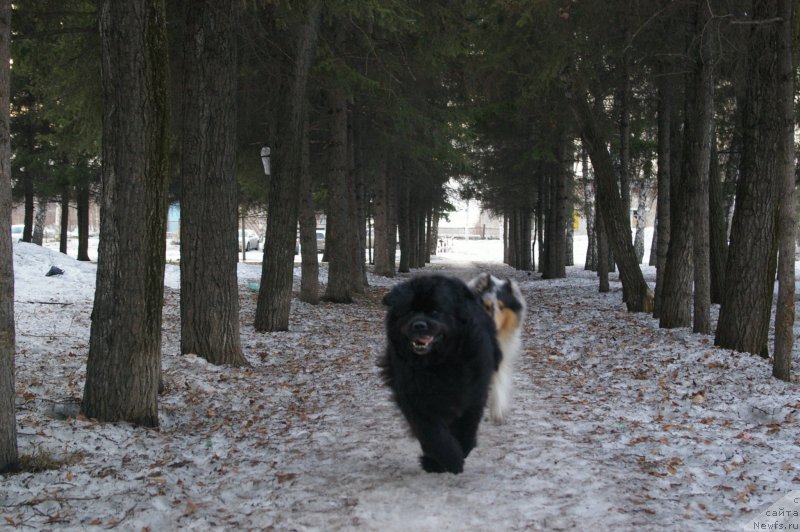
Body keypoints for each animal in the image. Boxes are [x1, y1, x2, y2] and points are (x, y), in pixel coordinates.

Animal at [382, 274, 500, 474]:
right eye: (409, 311)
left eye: (435, 311)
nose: (419, 325)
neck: (439, 364)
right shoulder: (414, 397)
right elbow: (431, 433)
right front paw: (448, 460)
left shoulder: (472, 394)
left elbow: (466, 428)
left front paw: (459, 454)